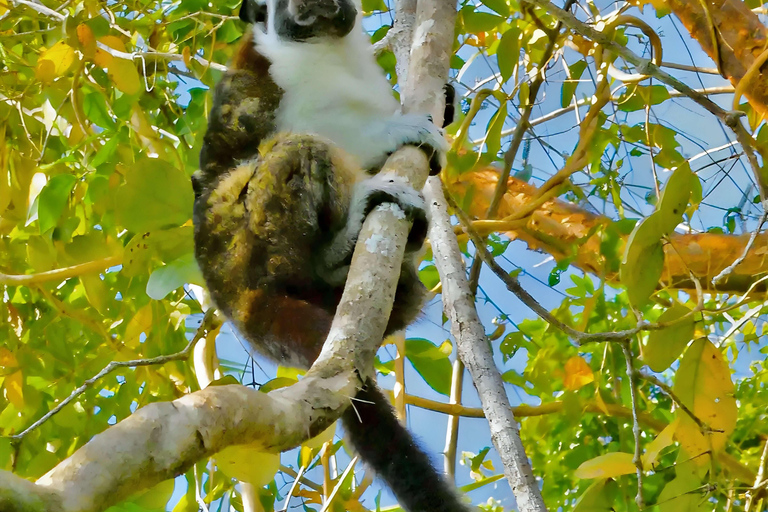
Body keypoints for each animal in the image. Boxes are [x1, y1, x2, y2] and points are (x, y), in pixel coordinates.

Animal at [191, 0, 468, 508]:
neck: (330, 47)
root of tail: (234, 296)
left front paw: (446, 103)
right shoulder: (280, 73)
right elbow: (308, 127)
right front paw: (394, 130)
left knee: (408, 291)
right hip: (245, 234)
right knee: (295, 150)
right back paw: (341, 242)